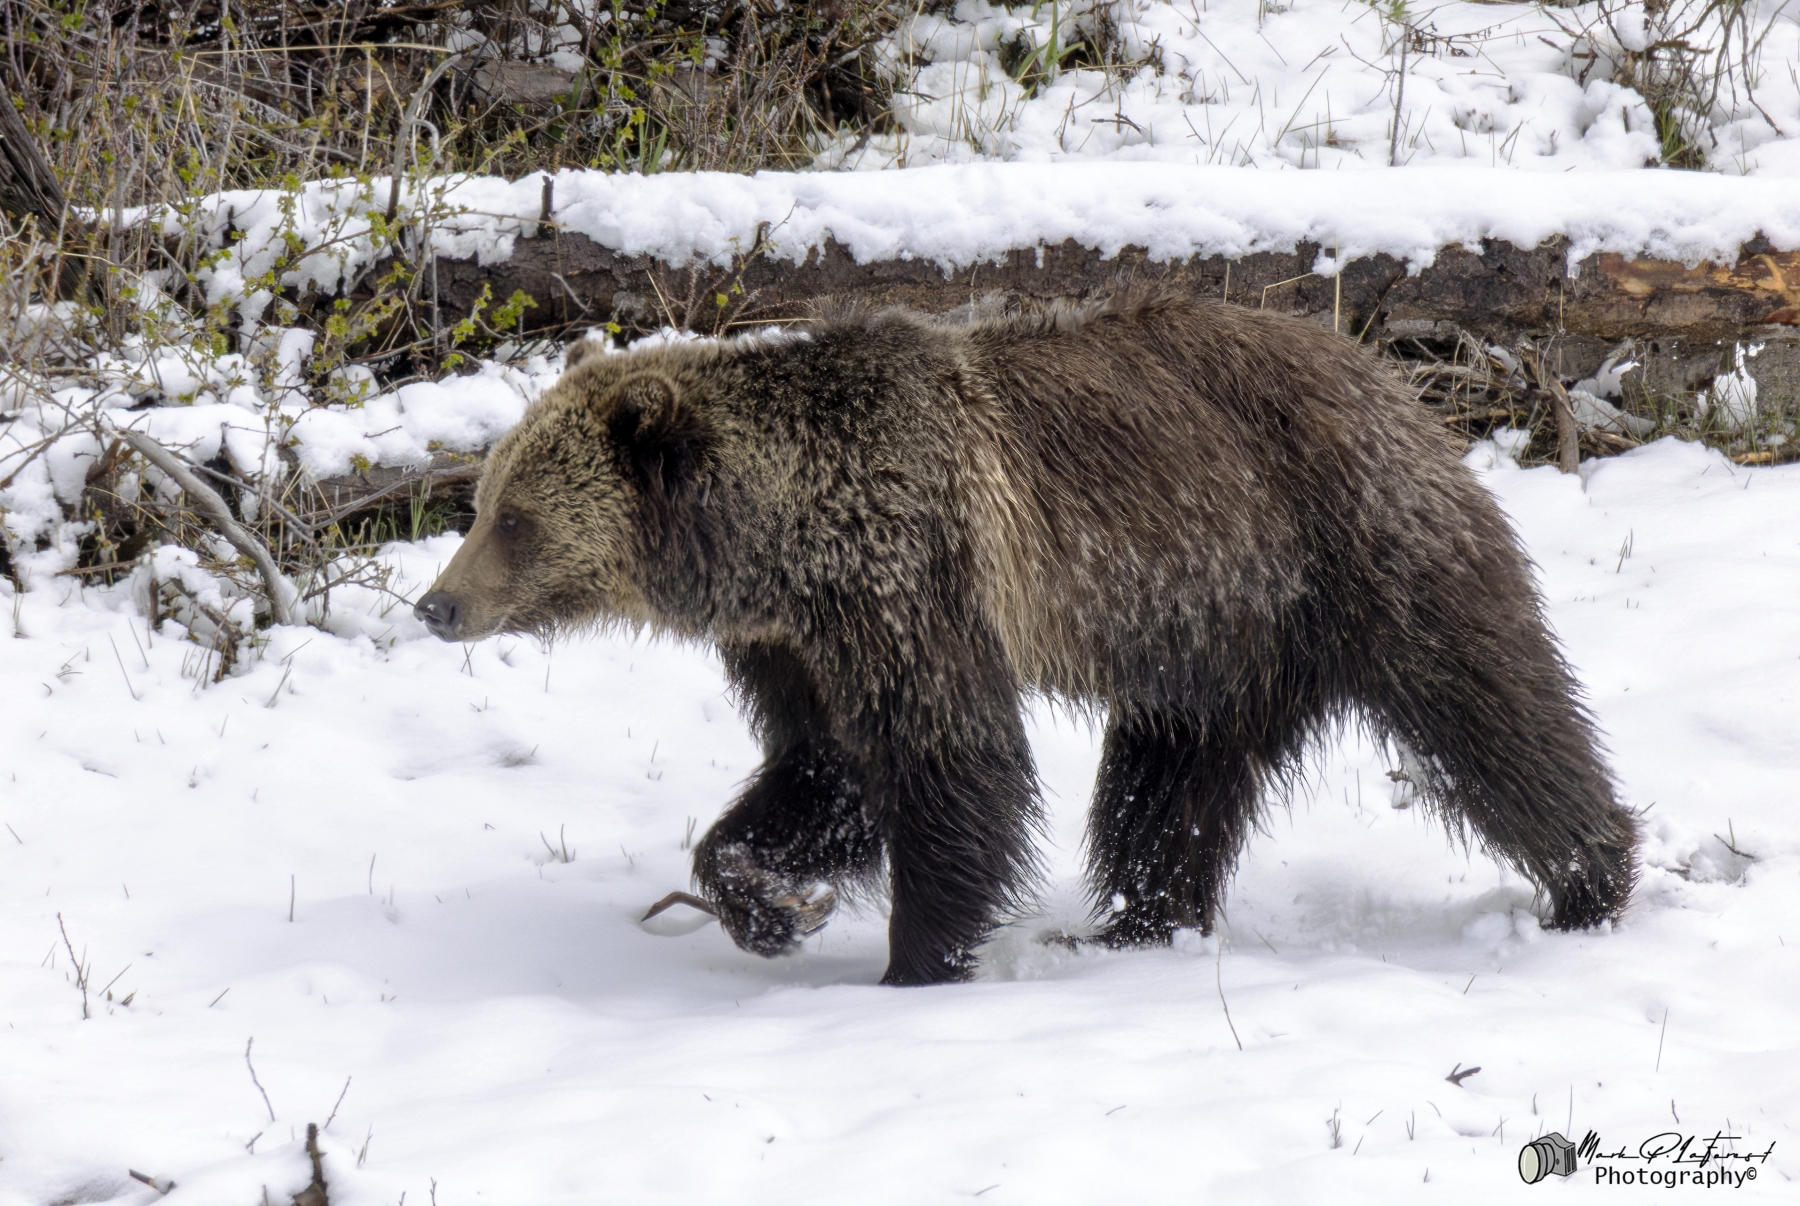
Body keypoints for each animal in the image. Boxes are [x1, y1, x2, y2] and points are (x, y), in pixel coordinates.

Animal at [414, 290, 1638, 986]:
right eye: (482, 503)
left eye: (514, 519)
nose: (436, 604)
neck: (782, 542)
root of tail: (1392, 376)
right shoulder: (796, 640)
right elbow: (823, 769)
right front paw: (769, 898)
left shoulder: (910, 572)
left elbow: (953, 760)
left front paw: (914, 962)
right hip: (1210, 638)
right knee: (1164, 794)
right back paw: (1135, 926)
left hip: (1350, 546)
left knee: (1493, 711)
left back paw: (1594, 877)